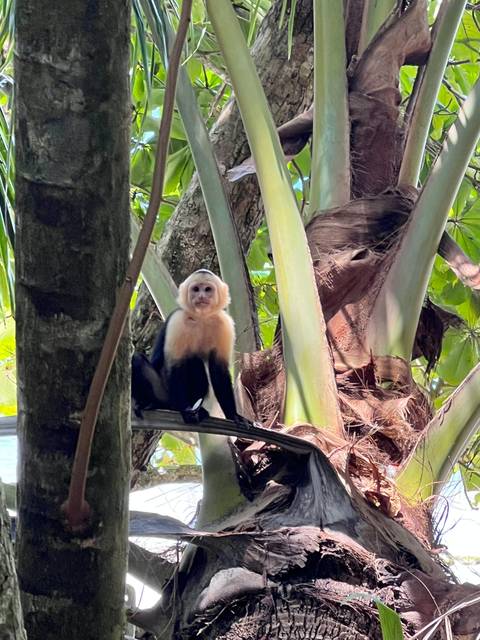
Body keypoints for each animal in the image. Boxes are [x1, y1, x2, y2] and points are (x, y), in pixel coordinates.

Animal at [132, 269, 247, 425]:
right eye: (196, 289)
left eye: (207, 289)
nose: (201, 296)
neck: (201, 318)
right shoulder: (178, 321)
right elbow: (175, 367)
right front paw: (186, 410)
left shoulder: (225, 324)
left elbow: (219, 371)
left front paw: (234, 415)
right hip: (164, 394)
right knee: (138, 360)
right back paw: (152, 404)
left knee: (196, 364)